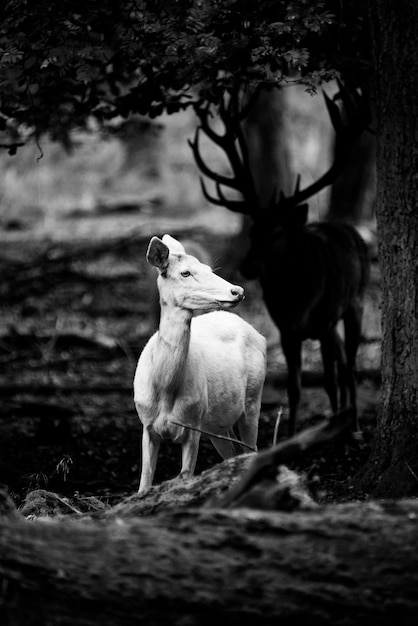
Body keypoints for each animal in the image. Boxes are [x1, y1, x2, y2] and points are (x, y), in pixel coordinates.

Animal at [134, 232, 266, 490]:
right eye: (185, 273)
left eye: (208, 268)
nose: (237, 290)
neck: (164, 391)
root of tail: (261, 336)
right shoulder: (146, 424)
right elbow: (144, 483)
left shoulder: (193, 423)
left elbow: (186, 475)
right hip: (218, 423)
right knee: (235, 453)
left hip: (253, 398)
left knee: (253, 450)